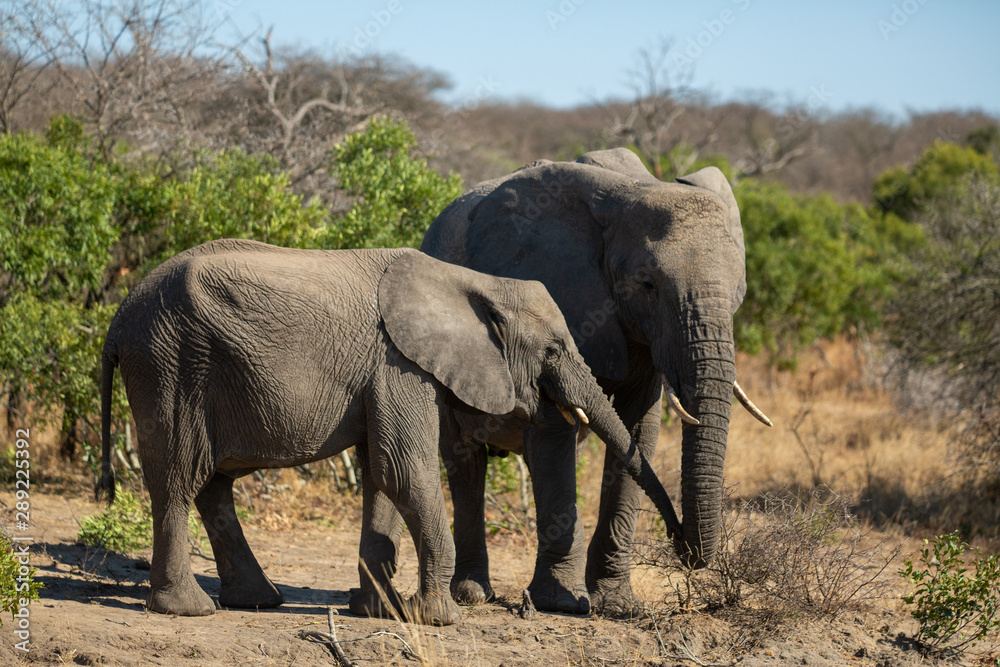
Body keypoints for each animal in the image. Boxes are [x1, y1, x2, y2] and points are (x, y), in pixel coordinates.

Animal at [97, 237, 683, 625]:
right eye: (555, 350)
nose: (687, 553)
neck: (469, 282)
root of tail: (117, 319)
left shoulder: (387, 371)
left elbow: (381, 477)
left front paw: (379, 611)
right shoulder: (400, 363)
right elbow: (402, 469)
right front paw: (437, 618)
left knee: (213, 483)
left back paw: (257, 601)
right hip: (171, 363)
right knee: (179, 477)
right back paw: (189, 610)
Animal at [417, 148, 772, 614]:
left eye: (738, 292)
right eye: (648, 284)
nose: (681, 542)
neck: (634, 191)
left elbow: (639, 430)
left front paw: (618, 606)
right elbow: (553, 428)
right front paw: (562, 603)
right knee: (465, 461)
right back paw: (472, 594)